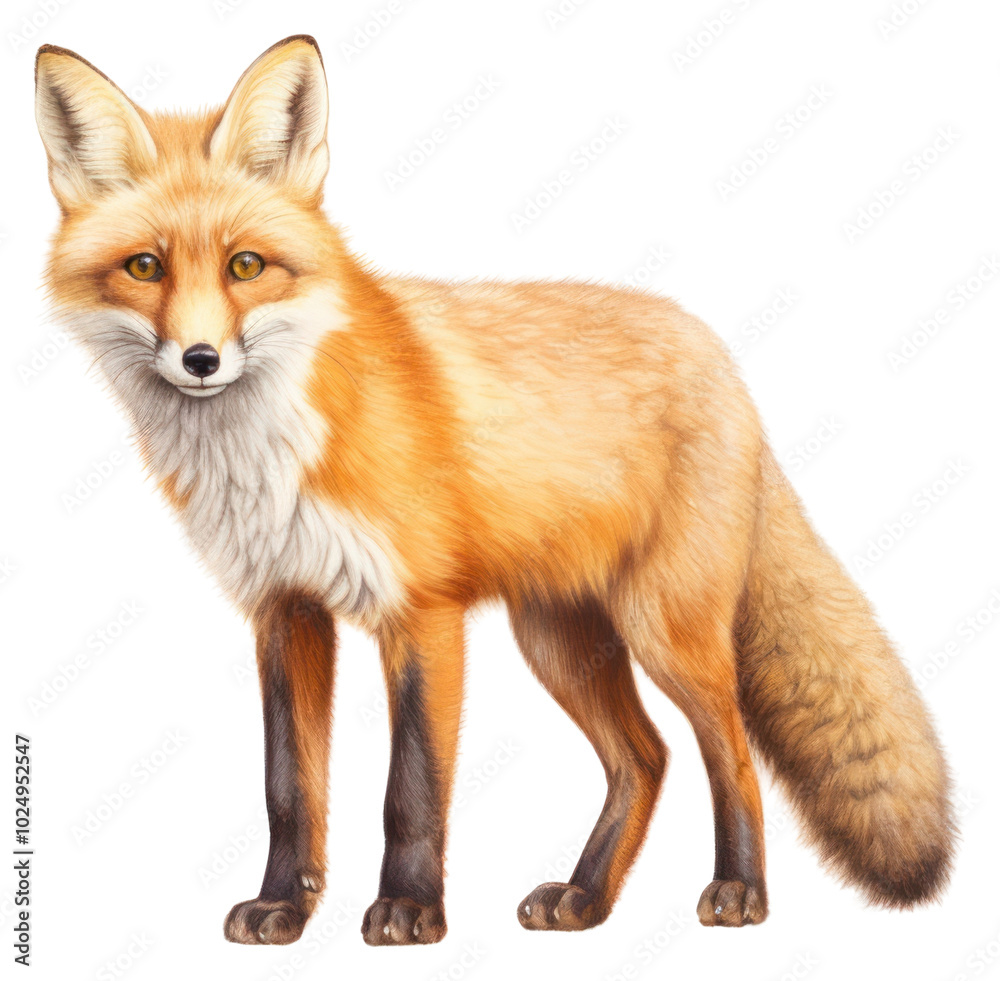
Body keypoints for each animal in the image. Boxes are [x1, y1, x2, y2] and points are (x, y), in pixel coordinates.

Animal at [34, 35, 954, 947]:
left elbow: (411, 789)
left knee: (728, 748)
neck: (270, 452)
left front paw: (410, 910)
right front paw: (285, 906)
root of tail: (721, 356)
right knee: (646, 756)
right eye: (144, 267)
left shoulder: (423, 612)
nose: (200, 359)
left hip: (664, 628)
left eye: (245, 265)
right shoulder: (284, 608)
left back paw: (740, 889)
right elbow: (289, 787)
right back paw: (585, 898)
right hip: (558, 638)